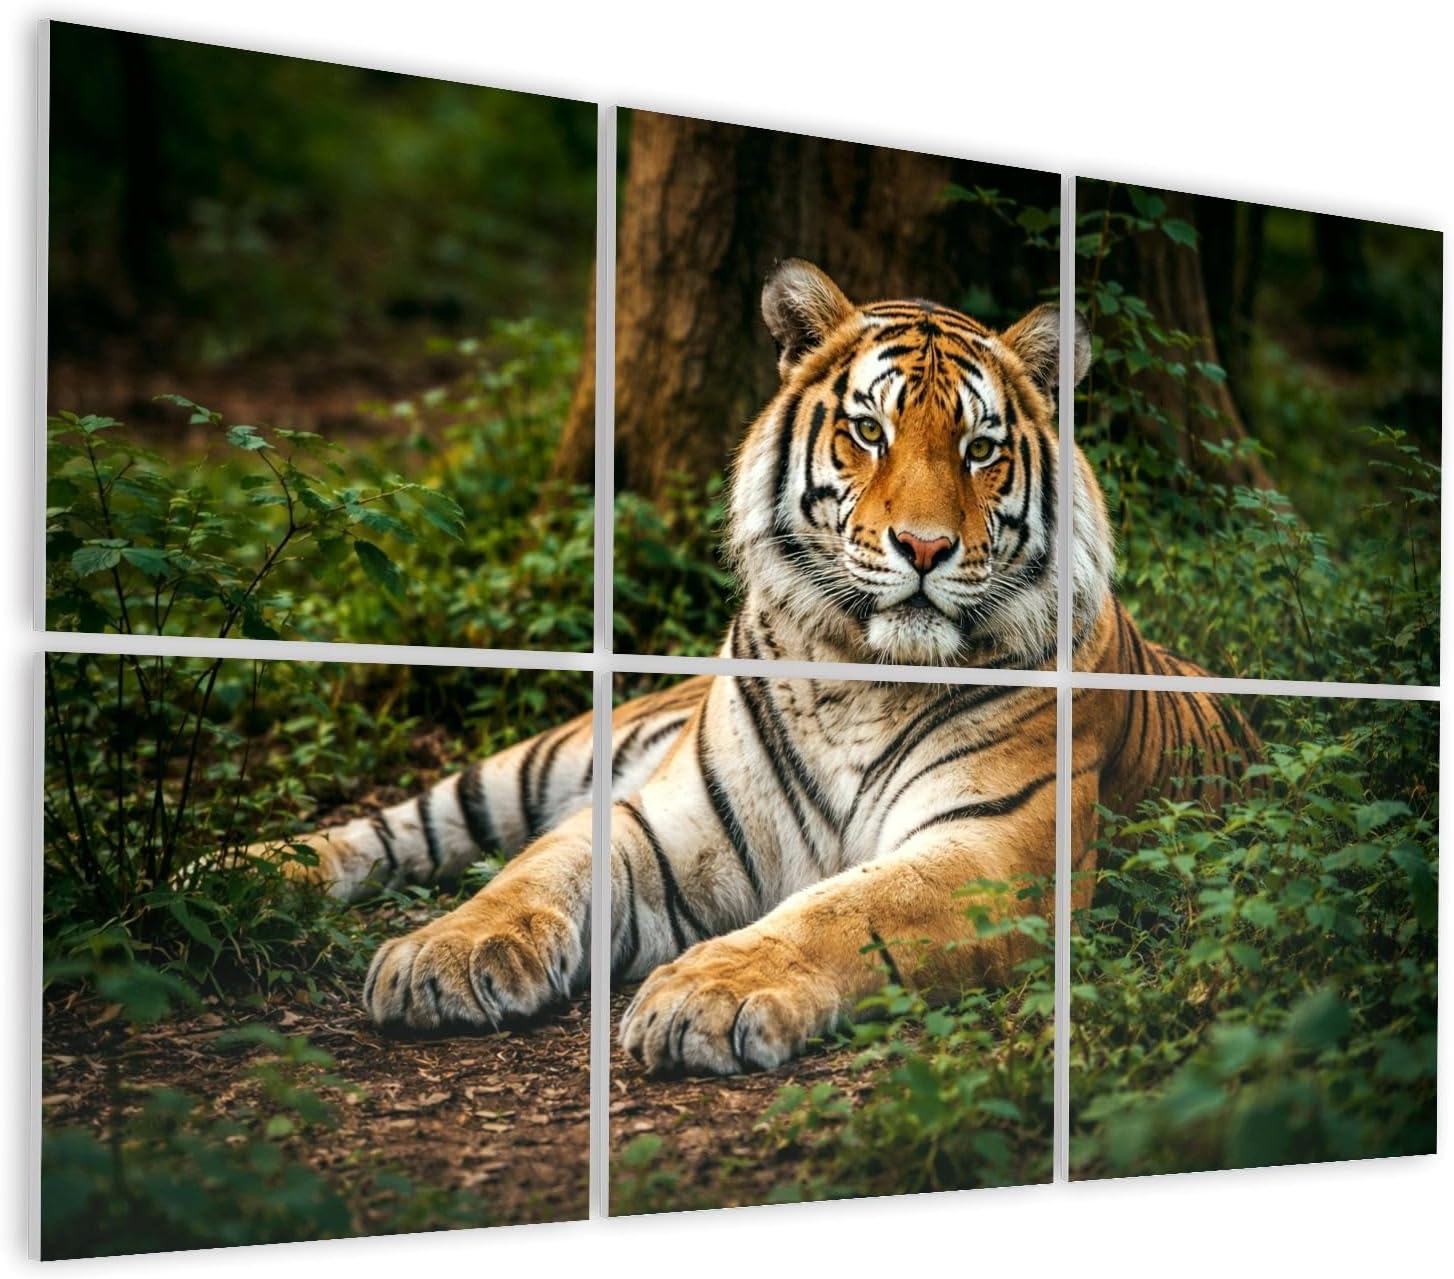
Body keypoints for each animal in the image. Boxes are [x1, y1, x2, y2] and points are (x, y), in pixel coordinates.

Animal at [272, 259, 1252, 1075]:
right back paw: (264, 869)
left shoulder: (994, 847)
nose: (925, 547)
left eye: (981, 448)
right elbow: (541, 867)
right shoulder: (665, 817)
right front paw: (444, 952)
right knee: (402, 827)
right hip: (544, 759)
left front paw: (711, 993)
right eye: (869, 431)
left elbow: (850, 907)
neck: (863, 675)